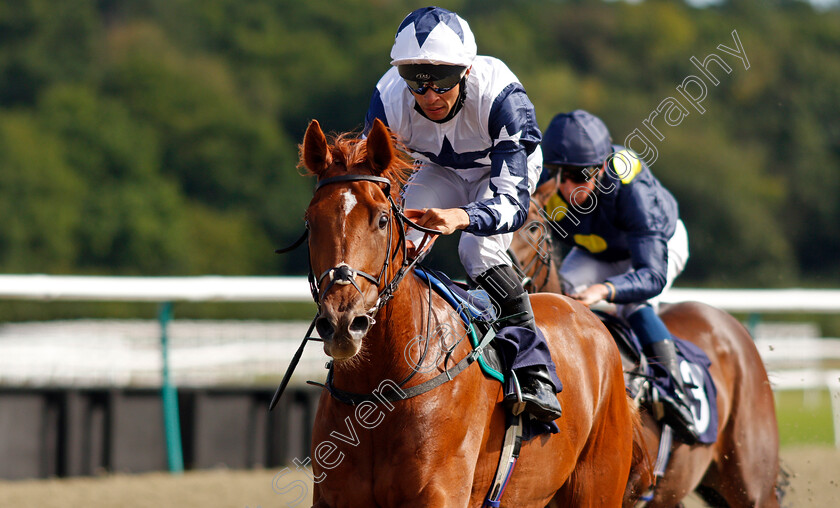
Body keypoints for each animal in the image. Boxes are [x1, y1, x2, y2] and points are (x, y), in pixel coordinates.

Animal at [298, 118, 648, 504]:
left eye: (382, 219)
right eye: (311, 222)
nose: (343, 322)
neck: (378, 389)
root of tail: (587, 315)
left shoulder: (441, 493)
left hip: (598, 485)